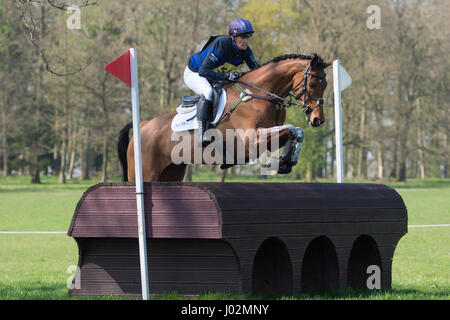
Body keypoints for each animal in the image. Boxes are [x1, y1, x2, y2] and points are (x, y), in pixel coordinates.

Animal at [118, 53, 332, 181]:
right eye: (313, 84)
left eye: (326, 85)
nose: (317, 119)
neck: (258, 94)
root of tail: (142, 124)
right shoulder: (251, 140)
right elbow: (293, 129)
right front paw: (283, 160)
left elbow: (296, 132)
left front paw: (287, 161)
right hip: (144, 174)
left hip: (172, 173)